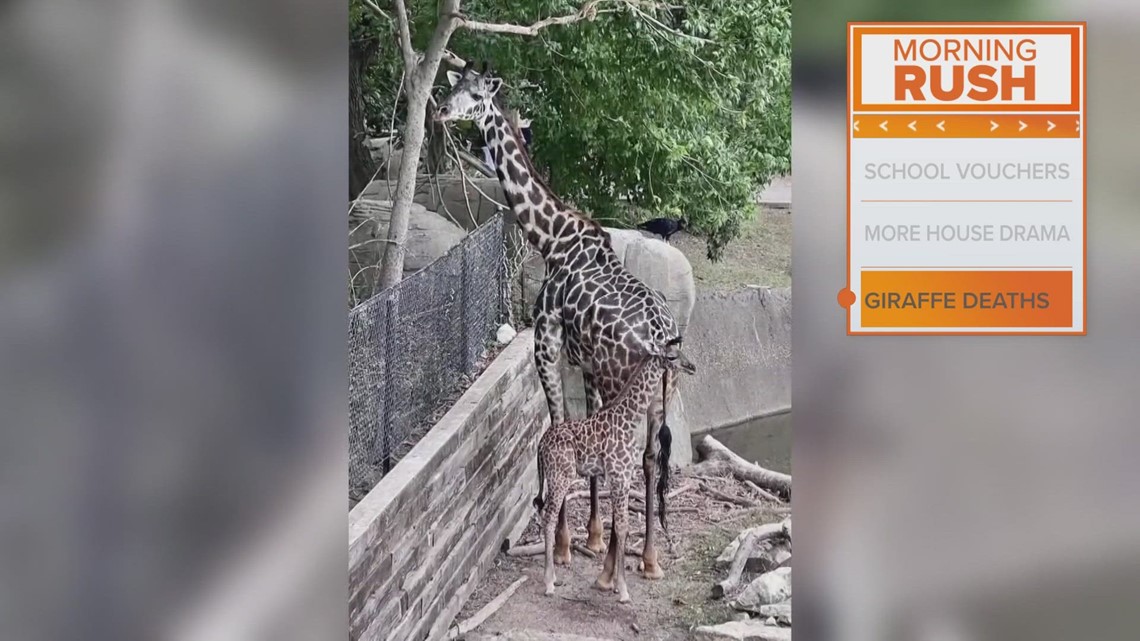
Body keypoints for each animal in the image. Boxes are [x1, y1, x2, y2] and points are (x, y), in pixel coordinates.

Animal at [434, 61, 693, 579]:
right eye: (455, 86)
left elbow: (557, 424)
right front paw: (591, 536)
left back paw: (618, 560)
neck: (552, 239)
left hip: (621, 381)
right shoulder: (585, 363)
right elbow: (584, 430)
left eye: (475, 94)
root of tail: (664, 338)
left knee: (631, 456)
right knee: (651, 457)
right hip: (659, 395)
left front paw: (566, 543)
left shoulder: (546, 345)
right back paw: (648, 558)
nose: (442, 111)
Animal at [533, 336, 696, 602]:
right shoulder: (619, 474)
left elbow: (623, 527)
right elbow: (621, 526)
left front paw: (617, 585)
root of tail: (540, 445)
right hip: (560, 476)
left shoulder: (624, 475)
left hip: (554, 476)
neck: (628, 419)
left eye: (681, 351)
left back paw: (554, 577)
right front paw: (623, 590)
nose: (691, 366)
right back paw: (548, 582)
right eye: (672, 356)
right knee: (548, 516)